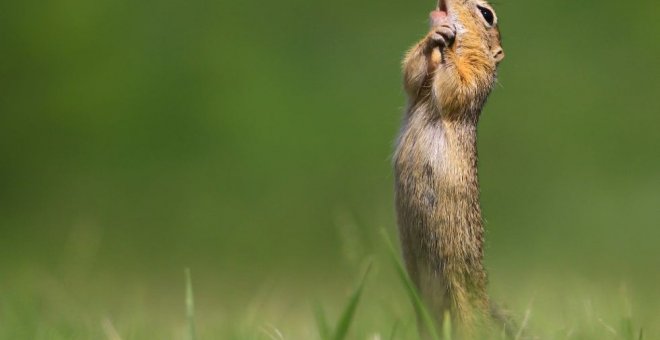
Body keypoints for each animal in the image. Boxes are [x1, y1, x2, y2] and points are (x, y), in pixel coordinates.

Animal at [394, 0, 508, 336]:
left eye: (487, 14)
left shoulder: (477, 74)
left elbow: (457, 85)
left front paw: (445, 42)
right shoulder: (418, 86)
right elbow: (412, 74)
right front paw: (433, 39)